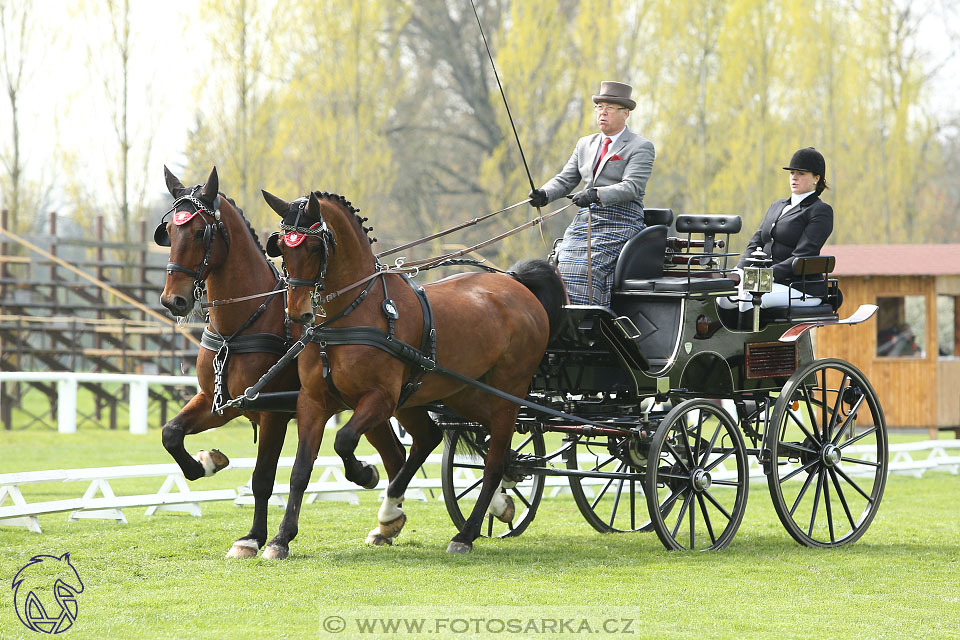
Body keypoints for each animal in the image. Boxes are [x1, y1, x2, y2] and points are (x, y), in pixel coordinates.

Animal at [155, 168, 408, 556]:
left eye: (200, 232)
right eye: (168, 231)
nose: (174, 300)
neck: (239, 327)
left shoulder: (271, 412)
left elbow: (263, 478)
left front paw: (253, 538)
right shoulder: (221, 402)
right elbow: (171, 433)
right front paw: (207, 462)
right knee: (395, 455)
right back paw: (385, 524)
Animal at [258, 186, 568, 556]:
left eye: (317, 247)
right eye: (281, 249)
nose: (298, 313)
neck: (351, 313)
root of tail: (517, 284)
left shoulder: (381, 398)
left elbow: (344, 440)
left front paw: (364, 474)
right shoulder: (313, 402)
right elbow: (300, 470)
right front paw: (281, 538)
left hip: (508, 391)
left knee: (492, 460)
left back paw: (465, 534)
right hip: (462, 392)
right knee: (468, 441)